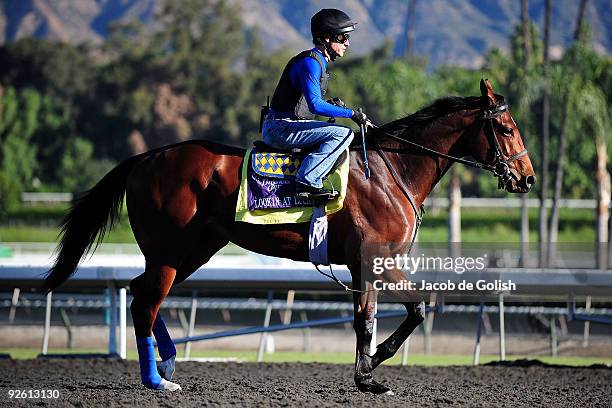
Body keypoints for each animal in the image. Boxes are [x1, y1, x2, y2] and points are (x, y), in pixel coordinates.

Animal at [43, 79, 536, 396]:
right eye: (507, 128)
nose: (528, 178)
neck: (391, 170)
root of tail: (148, 157)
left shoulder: (368, 265)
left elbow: (374, 317)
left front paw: (366, 371)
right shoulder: (377, 260)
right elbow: (406, 312)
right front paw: (370, 370)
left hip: (194, 250)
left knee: (138, 293)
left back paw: (166, 362)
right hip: (169, 252)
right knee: (146, 303)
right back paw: (156, 380)